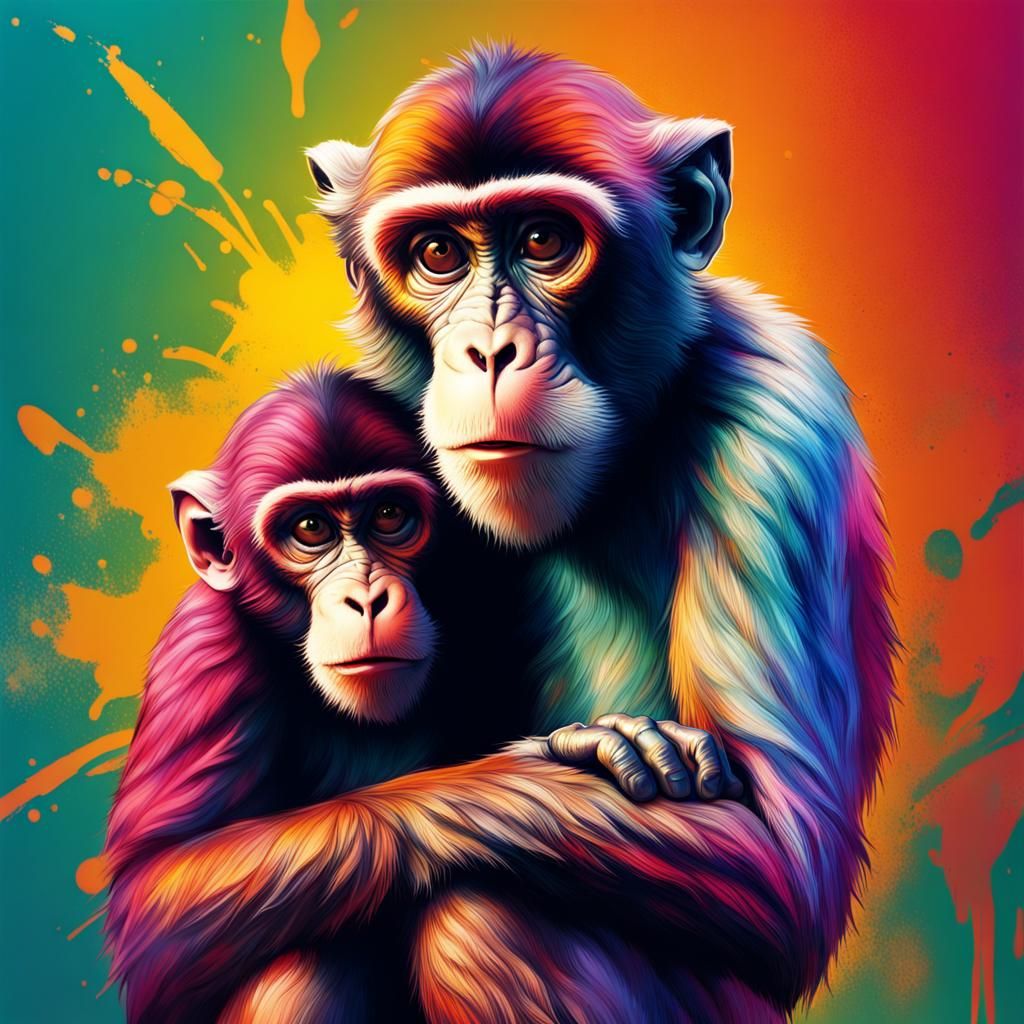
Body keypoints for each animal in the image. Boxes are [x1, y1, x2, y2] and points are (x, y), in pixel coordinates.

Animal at [104, 364, 746, 1022]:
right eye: (309, 528)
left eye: (390, 514)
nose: (366, 597)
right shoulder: (201, 644)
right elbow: (155, 888)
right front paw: (534, 775)